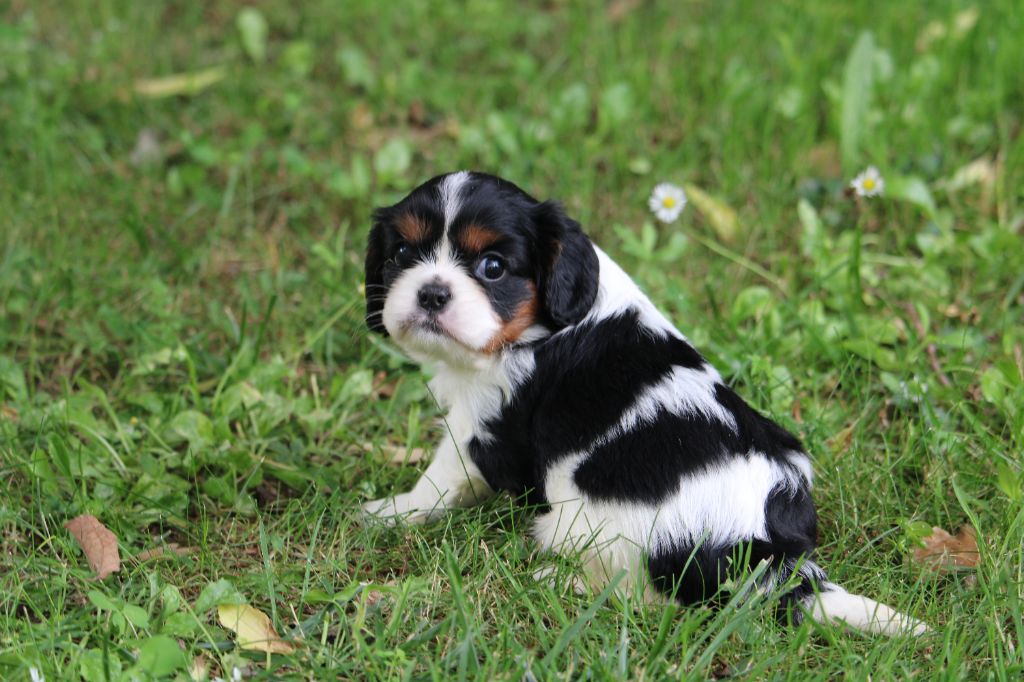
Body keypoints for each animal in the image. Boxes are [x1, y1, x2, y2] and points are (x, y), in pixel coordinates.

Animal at [362, 171, 926, 635]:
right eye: (402, 254)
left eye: (493, 267)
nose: (432, 293)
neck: (537, 328)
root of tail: (767, 555)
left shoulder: (484, 424)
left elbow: (441, 478)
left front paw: (394, 511)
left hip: (586, 529)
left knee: (646, 597)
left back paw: (565, 582)